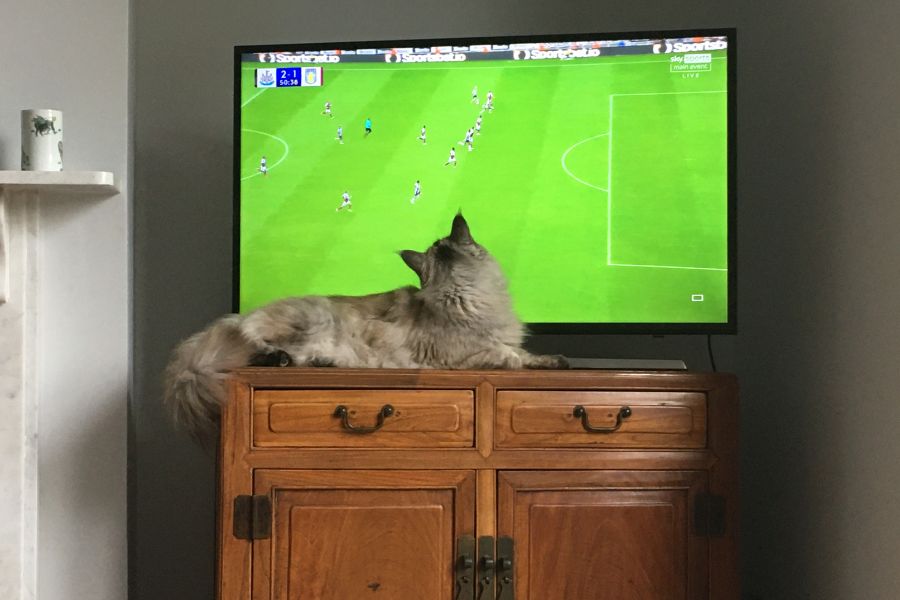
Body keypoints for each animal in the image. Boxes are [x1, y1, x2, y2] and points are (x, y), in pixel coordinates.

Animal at [165, 213, 568, 438]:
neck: (462, 292)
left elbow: (525, 353)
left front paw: (553, 362)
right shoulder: (464, 354)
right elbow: (510, 355)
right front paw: (537, 361)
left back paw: (319, 362)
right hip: (310, 318)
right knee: (255, 343)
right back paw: (276, 359)